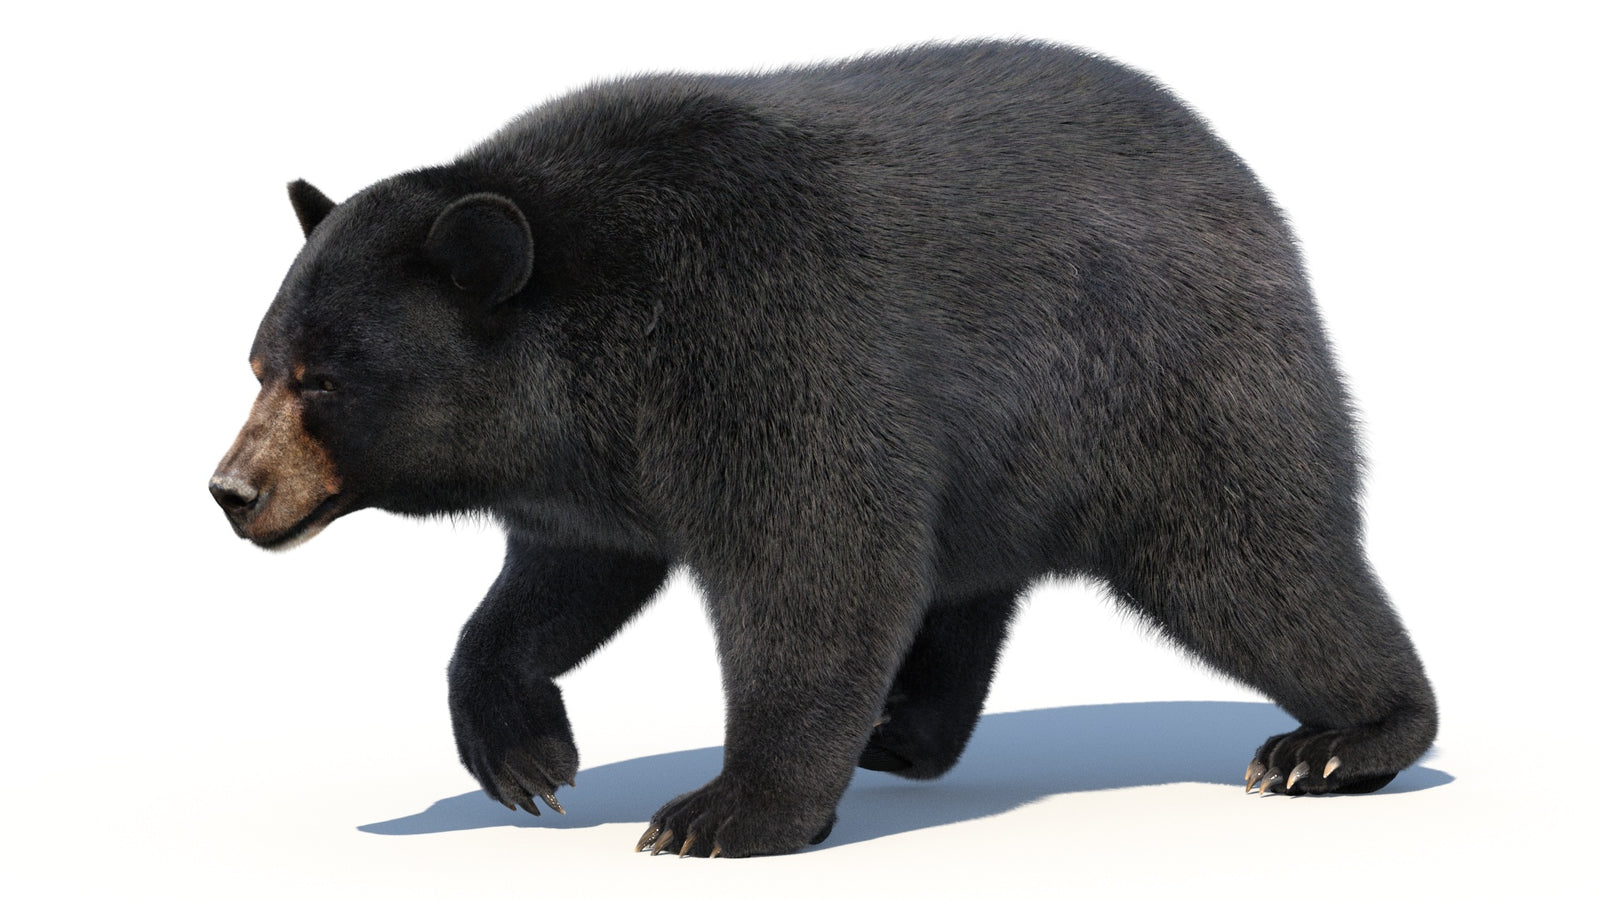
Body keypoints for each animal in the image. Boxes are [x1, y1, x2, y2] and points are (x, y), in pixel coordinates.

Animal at [210, 40, 1437, 858]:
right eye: (259, 361)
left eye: (324, 379)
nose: (233, 490)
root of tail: (1243, 184)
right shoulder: (593, 464)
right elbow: (562, 580)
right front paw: (527, 761)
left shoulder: (763, 340)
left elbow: (817, 566)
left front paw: (724, 812)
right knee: (966, 581)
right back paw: (904, 732)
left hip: (1170, 387)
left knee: (1255, 562)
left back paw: (1338, 740)